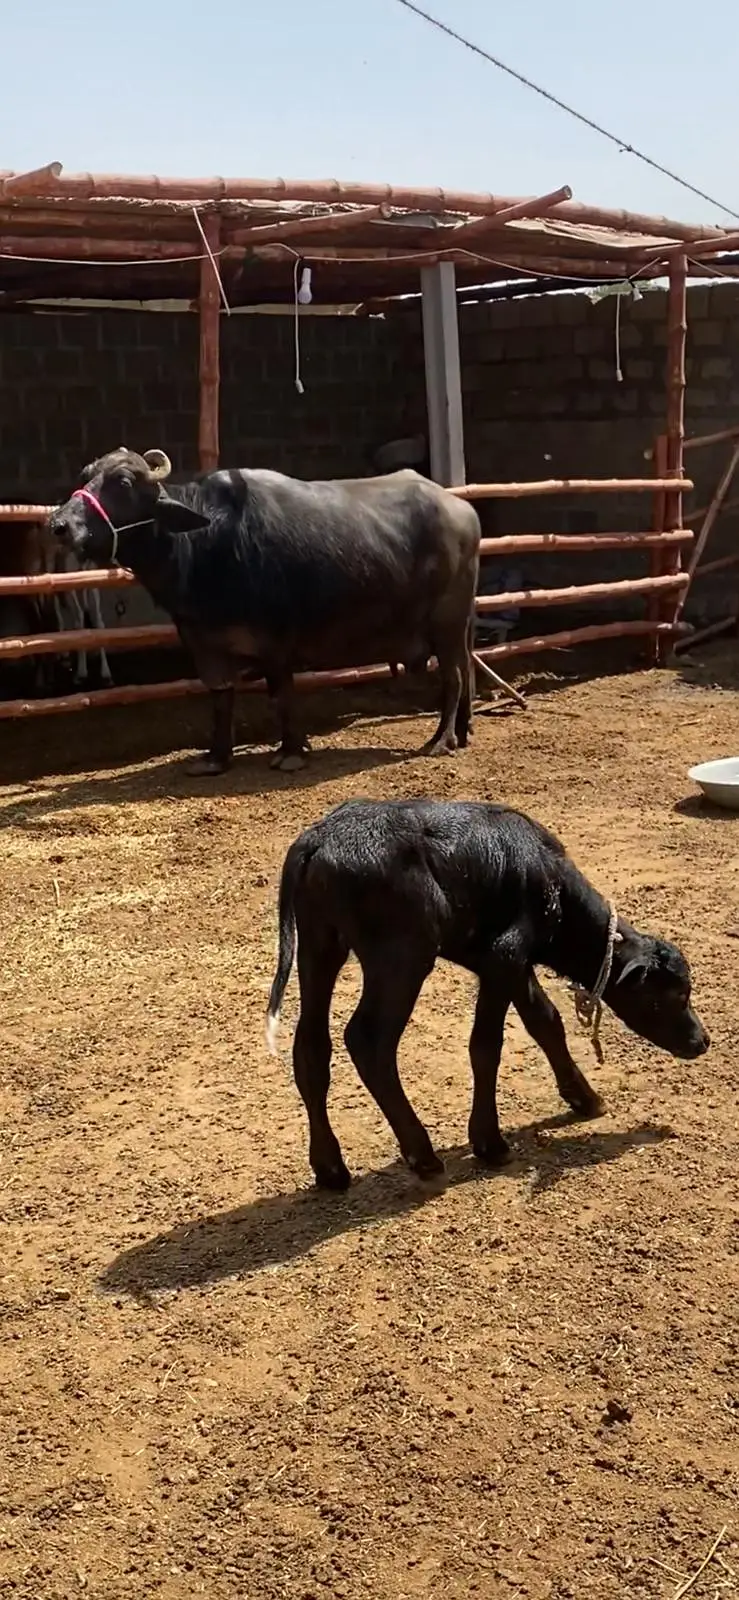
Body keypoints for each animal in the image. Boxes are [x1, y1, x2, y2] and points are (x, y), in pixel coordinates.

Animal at [48, 448, 481, 775]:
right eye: (86, 476)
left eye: (123, 482)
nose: (60, 525)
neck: (207, 543)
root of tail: (462, 509)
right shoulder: (204, 644)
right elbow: (221, 698)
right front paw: (216, 757)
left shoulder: (276, 641)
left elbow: (281, 694)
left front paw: (290, 751)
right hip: (456, 626)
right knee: (465, 669)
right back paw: (460, 732)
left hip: (445, 621)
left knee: (454, 676)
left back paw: (440, 739)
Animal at [265, 798, 709, 1191]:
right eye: (675, 994)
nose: (701, 1041)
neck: (551, 886)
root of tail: (319, 837)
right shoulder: (504, 957)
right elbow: (486, 1045)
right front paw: (489, 1142)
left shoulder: (509, 964)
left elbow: (546, 1021)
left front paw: (585, 1098)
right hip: (401, 960)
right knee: (368, 1041)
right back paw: (423, 1157)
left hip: (320, 947)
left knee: (310, 1046)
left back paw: (330, 1168)